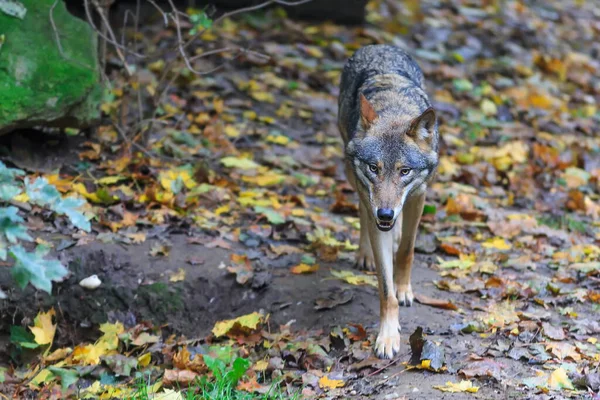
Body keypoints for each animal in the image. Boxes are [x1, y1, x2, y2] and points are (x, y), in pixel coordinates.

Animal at [338, 44, 440, 360]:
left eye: (404, 171)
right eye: (374, 168)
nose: (384, 213)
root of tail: (379, 46)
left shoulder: (419, 195)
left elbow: (406, 250)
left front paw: (404, 288)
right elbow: (385, 289)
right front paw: (387, 336)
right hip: (351, 174)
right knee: (362, 210)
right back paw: (365, 253)